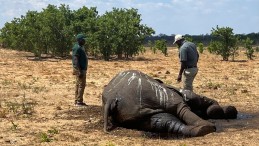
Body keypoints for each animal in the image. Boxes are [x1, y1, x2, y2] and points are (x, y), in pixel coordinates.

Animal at [101, 69, 238, 137]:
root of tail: (112, 98)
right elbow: (196, 99)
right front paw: (222, 111)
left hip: (132, 112)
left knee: (163, 122)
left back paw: (200, 130)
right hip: (152, 92)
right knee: (180, 107)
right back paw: (207, 127)